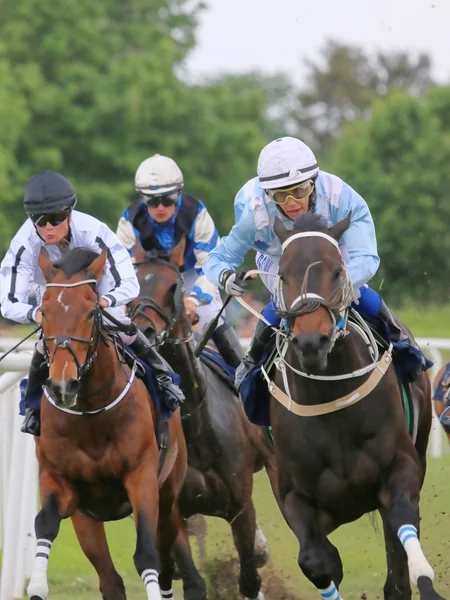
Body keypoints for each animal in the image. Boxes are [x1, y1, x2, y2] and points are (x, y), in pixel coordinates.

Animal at [23, 247, 201, 600]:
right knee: (110, 580)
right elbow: (45, 523)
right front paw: (36, 586)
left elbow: (147, 554)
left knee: (167, 554)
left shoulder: (141, 477)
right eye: (44, 312)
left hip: (169, 495)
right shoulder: (59, 480)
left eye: (92, 312)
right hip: (88, 520)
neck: (91, 413)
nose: (63, 385)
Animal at [126, 239, 278, 600]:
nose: (144, 331)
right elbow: (181, 576)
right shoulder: (174, 511)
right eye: (133, 283)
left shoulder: (240, 505)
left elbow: (249, 578)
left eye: (174, 287)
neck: (196, 425)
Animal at [260, 213, 442, 600]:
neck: (328, 399)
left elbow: (403, 527)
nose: (311, 341)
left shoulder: (400, 468)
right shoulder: (291, 494)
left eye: (336, 270)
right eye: (282, 274)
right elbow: (317, 560)